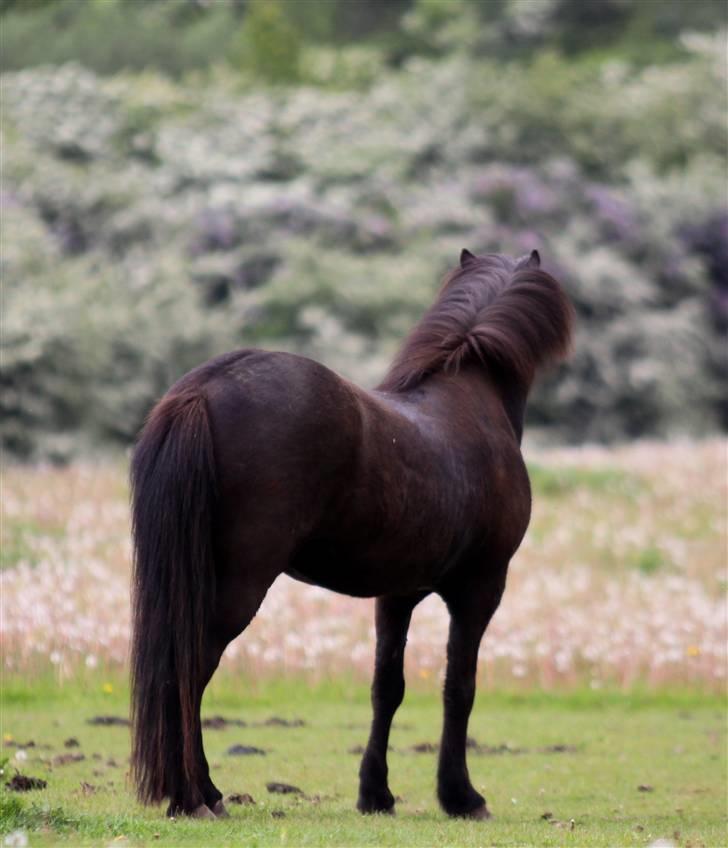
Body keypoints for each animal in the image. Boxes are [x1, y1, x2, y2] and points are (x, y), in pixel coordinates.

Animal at [131, 248, 576, 820]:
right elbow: (460, 687)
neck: (470, 403)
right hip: (237, 587)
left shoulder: (397, 593)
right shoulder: (480, 589)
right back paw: (195, 795)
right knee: (190, 668)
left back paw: (199, 792)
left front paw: (376, 792)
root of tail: (204, 389)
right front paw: (461, 796)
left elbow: (387, 687)